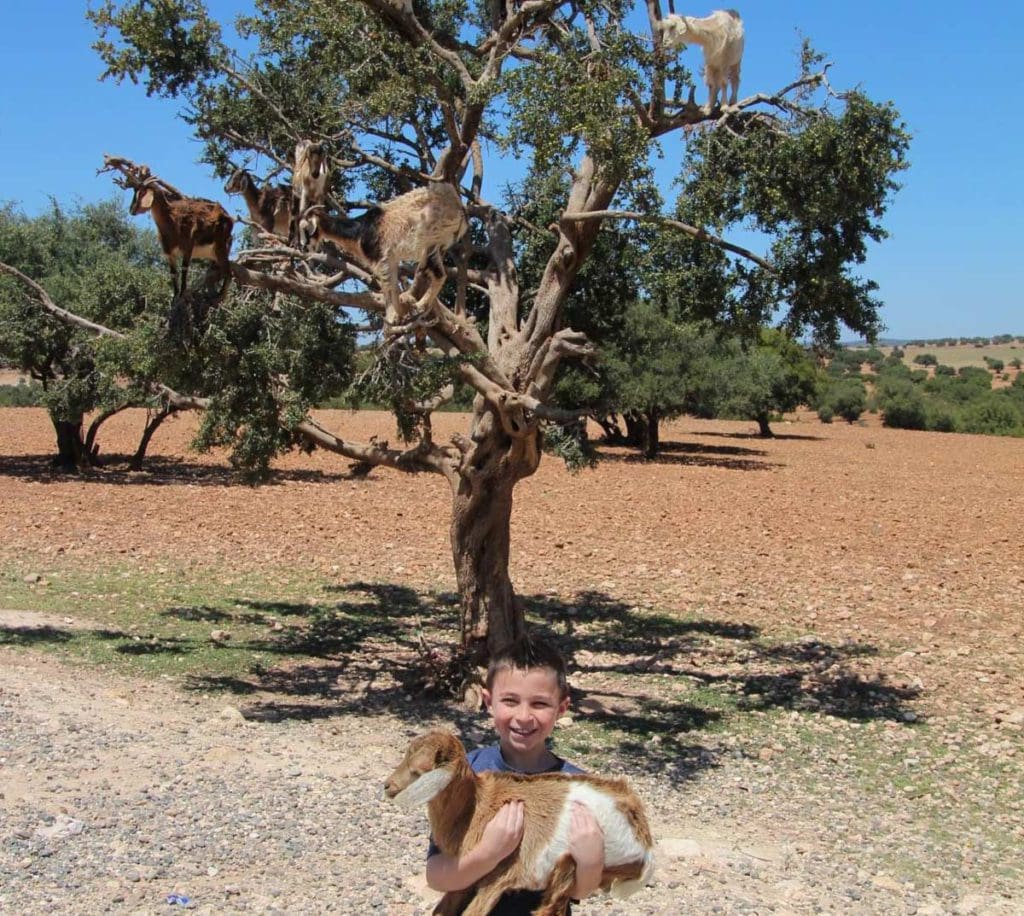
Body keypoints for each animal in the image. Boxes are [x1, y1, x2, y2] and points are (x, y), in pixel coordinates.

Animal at [299, 182, 468, 325]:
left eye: (306, 229)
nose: (304, 248)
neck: (360, 231)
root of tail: (459, 209)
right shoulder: (391, 260)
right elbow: (394, 287)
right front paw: (400, 315)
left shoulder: (381, 258)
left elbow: (388, 288)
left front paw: (393, 317)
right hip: (435, 246)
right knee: (441, 275)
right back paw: (421, 306)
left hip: (429, 239)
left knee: (437, 273)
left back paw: (420, 305)